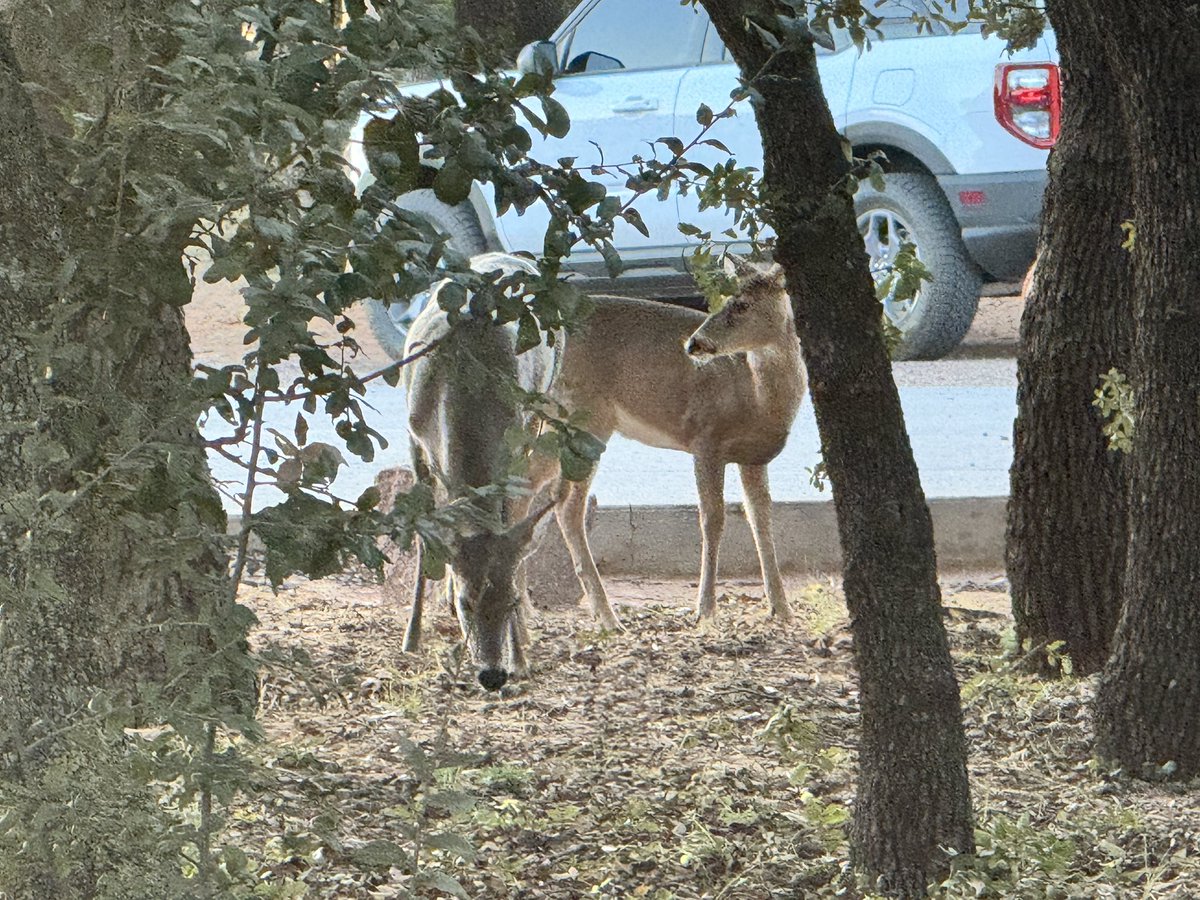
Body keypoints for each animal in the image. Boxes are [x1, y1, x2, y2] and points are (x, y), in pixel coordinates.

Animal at [401, 252, 558, 691]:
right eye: (465, 602)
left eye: (511, 602)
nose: (492, 675)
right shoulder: (415, 437)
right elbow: (425, 534)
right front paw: (412, 635)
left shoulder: (517, 441)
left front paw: (521, 653)